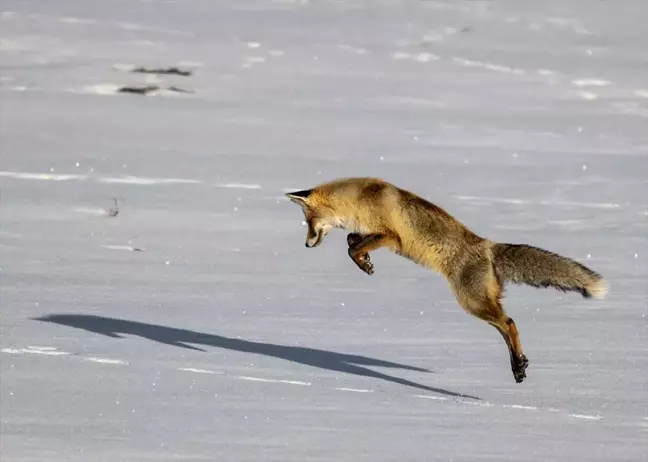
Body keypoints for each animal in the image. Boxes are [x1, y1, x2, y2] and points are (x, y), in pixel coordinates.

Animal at [288, 177, 608, 382]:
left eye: (309, 221)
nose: (305, 245)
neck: (361, 198)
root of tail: (487, 246)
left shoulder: (391, 236)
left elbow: (352, 247)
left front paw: (363, 262)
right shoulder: (372, 233)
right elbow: (352, 241)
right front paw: (365, 261)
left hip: (471, 302)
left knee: (509, 323)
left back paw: (518, 365)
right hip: (479, 302)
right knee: (505, 325)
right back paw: (519, 366)